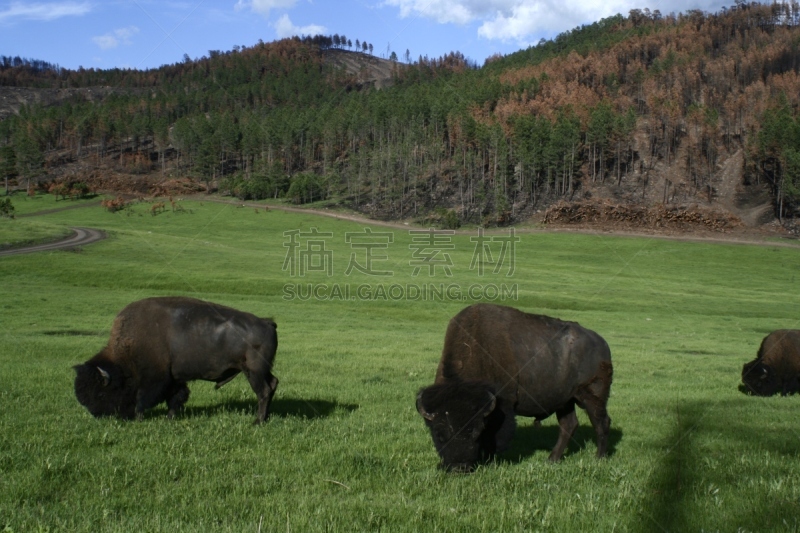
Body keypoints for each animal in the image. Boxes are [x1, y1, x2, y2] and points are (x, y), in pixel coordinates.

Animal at [73, 298, 278, 422]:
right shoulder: (175, 378)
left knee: (263, 391)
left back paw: (257, 421)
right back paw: (264, 418)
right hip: (262, 371)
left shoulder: (155, 379)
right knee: (273, 384)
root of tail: (267, 322)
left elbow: (143, 399)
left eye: (100, 394)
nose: (98, 415)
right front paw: (170, 417)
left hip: (254, 372)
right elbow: (176, 397)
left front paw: (140, 417)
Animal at [416, 304, 616, 470]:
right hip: (565, 402)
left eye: (476, 432)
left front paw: (490, 460)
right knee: (569, 425)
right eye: (439, 434)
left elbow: (495, 436)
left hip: (593, 396)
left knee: (601, 423)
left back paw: (599, 458)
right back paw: (552, 459)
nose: (458, 468)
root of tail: (602, 343)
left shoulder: (502, 407)